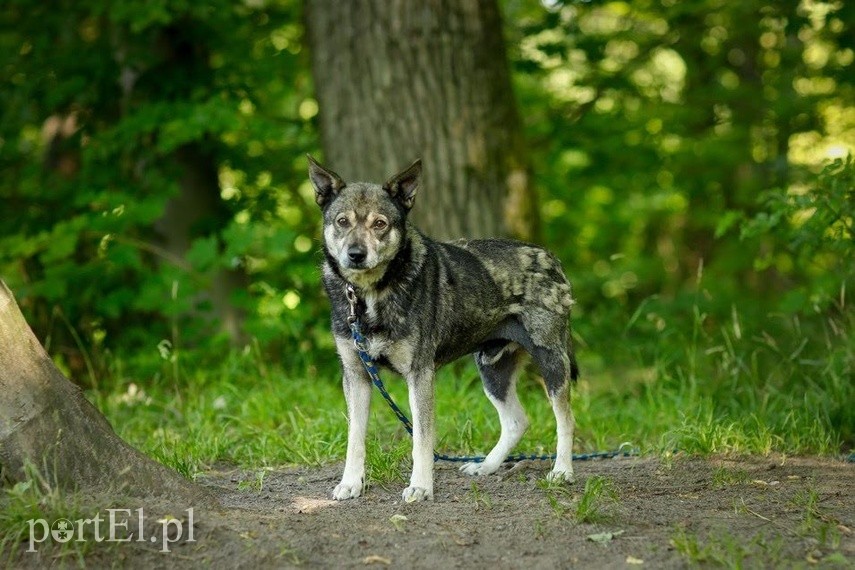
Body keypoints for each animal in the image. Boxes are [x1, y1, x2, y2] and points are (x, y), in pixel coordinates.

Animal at [310, 155, 580, 502]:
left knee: (566, 419)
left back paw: (562, 471)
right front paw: (351, 482)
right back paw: (486, 466)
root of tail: (550, 258)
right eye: (342, 221)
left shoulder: (420, 374)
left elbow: (422, 439)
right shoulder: (356, 375)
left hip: (551, 361)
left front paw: (421, 486)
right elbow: (355, 438)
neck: (369, 294)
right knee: (517, 421)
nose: (355, 254)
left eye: (380, 224)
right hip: (493, 370)